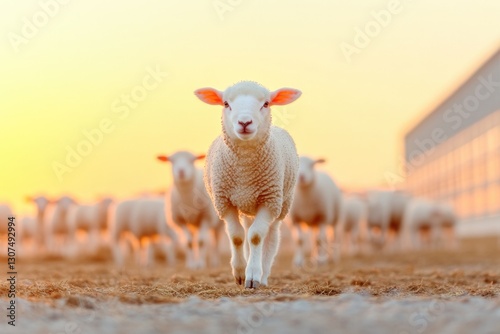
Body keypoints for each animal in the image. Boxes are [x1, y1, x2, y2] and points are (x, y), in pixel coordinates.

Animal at [195, 79, 300, 288]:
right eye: (226, 103)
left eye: (266, 104)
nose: (244, 122)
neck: (244, 172)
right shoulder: (224, 201)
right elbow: (237, 237)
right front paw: (240, 273)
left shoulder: (269, 200)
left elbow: (256, 236)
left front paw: (253, 276)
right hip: (246, 206)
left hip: (281, 204)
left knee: (270, 237)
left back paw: (264, 275)